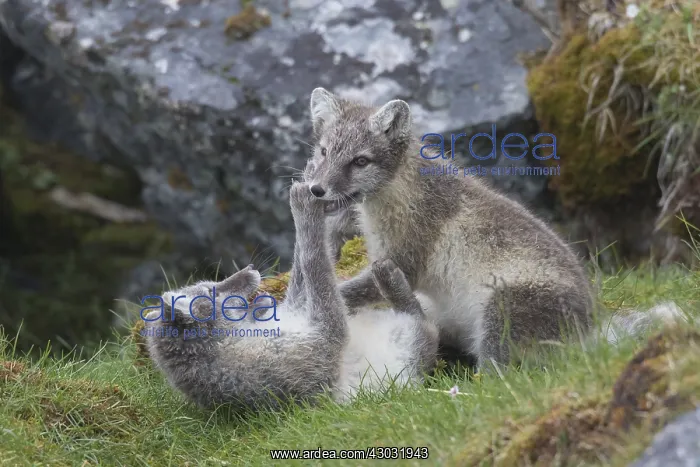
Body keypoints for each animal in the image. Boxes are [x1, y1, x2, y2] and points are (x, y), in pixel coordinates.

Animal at [144, 180, 438, 409]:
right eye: (209, 291)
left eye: (209, 283)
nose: (251, 269)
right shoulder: (326, 340)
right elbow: (313, 260)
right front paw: (303, 207)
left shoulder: (296, 311)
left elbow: (301, 275)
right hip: (411, 340)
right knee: (424, 323)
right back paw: (389, 277)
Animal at [303, 88, 686, 370]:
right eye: (323, 152)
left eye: (360, 161)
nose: (316, 189)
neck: (400, 189)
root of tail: (589, 329)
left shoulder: (404, 259)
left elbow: (350, 290)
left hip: (500, 309)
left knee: (501, 376)